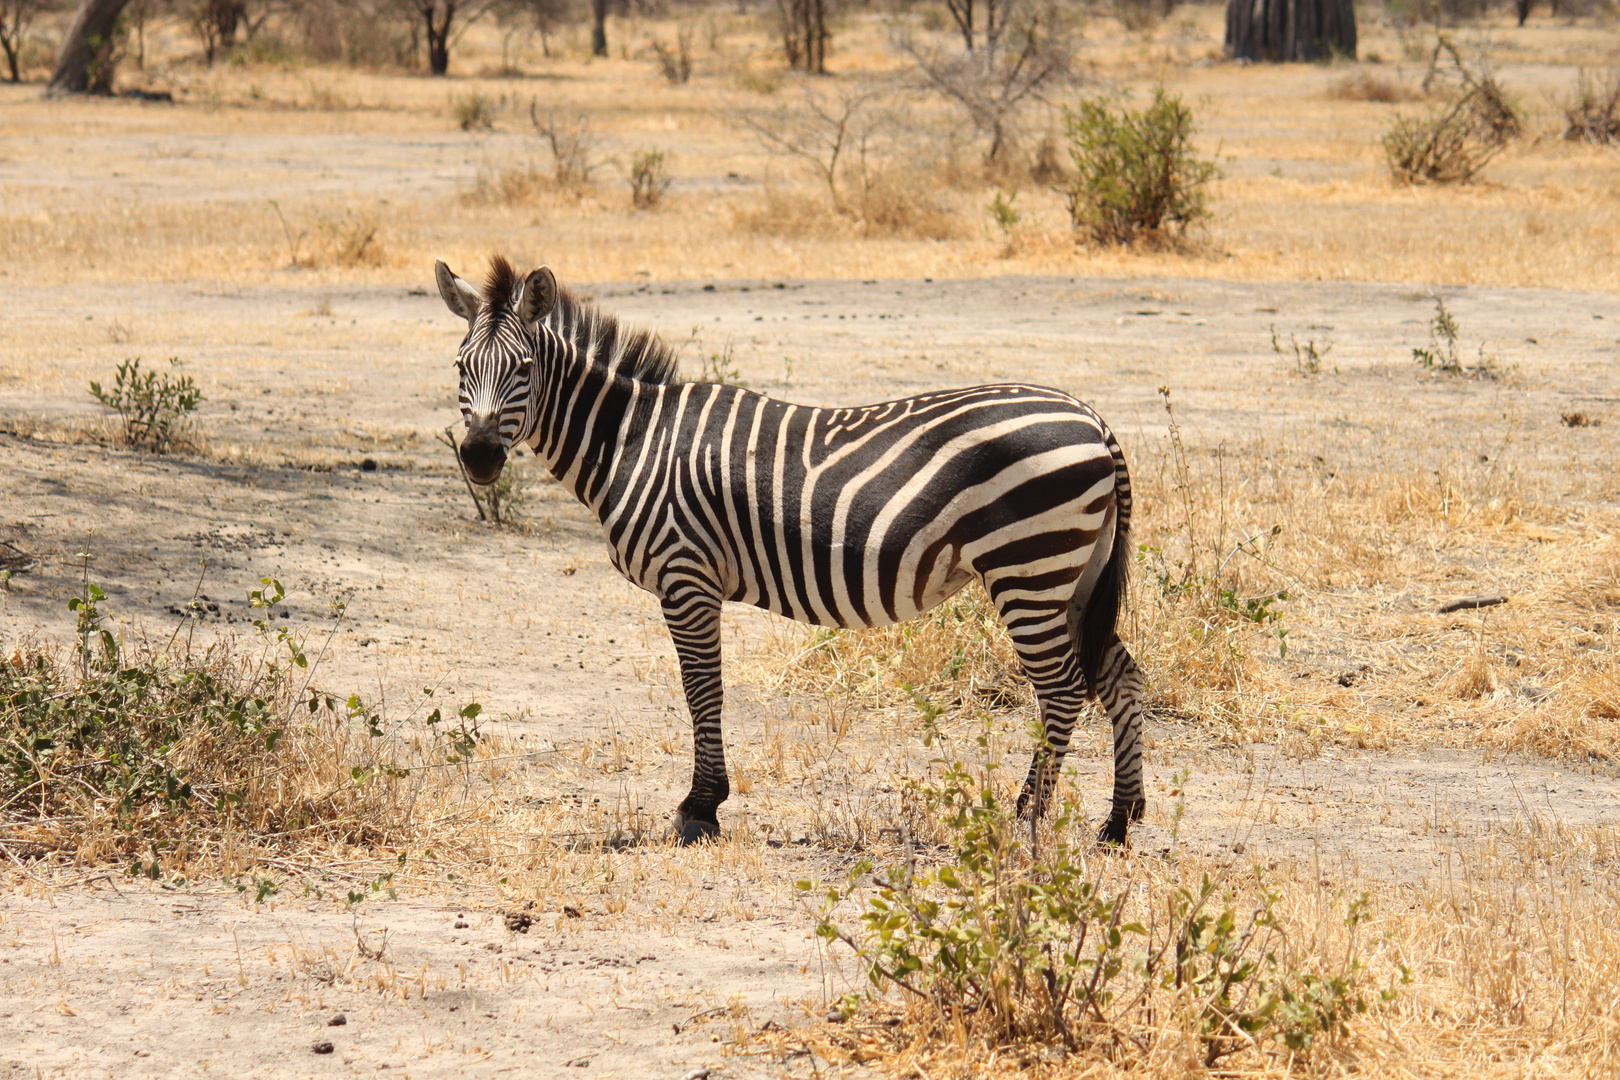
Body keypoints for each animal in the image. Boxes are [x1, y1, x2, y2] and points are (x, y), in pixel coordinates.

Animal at [437, 259, 1146, 841]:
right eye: (460, 368)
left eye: (524, 370)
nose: (479, 458)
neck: (630, 439)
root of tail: (1093, 418)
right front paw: (705, 803)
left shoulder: (686, 575)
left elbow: (703, 689)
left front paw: (700, 808)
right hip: (1074, 575)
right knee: (1120, 674)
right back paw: (1119, 822)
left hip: (1029, 567)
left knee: (1063, 689)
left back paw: (1027, 817)